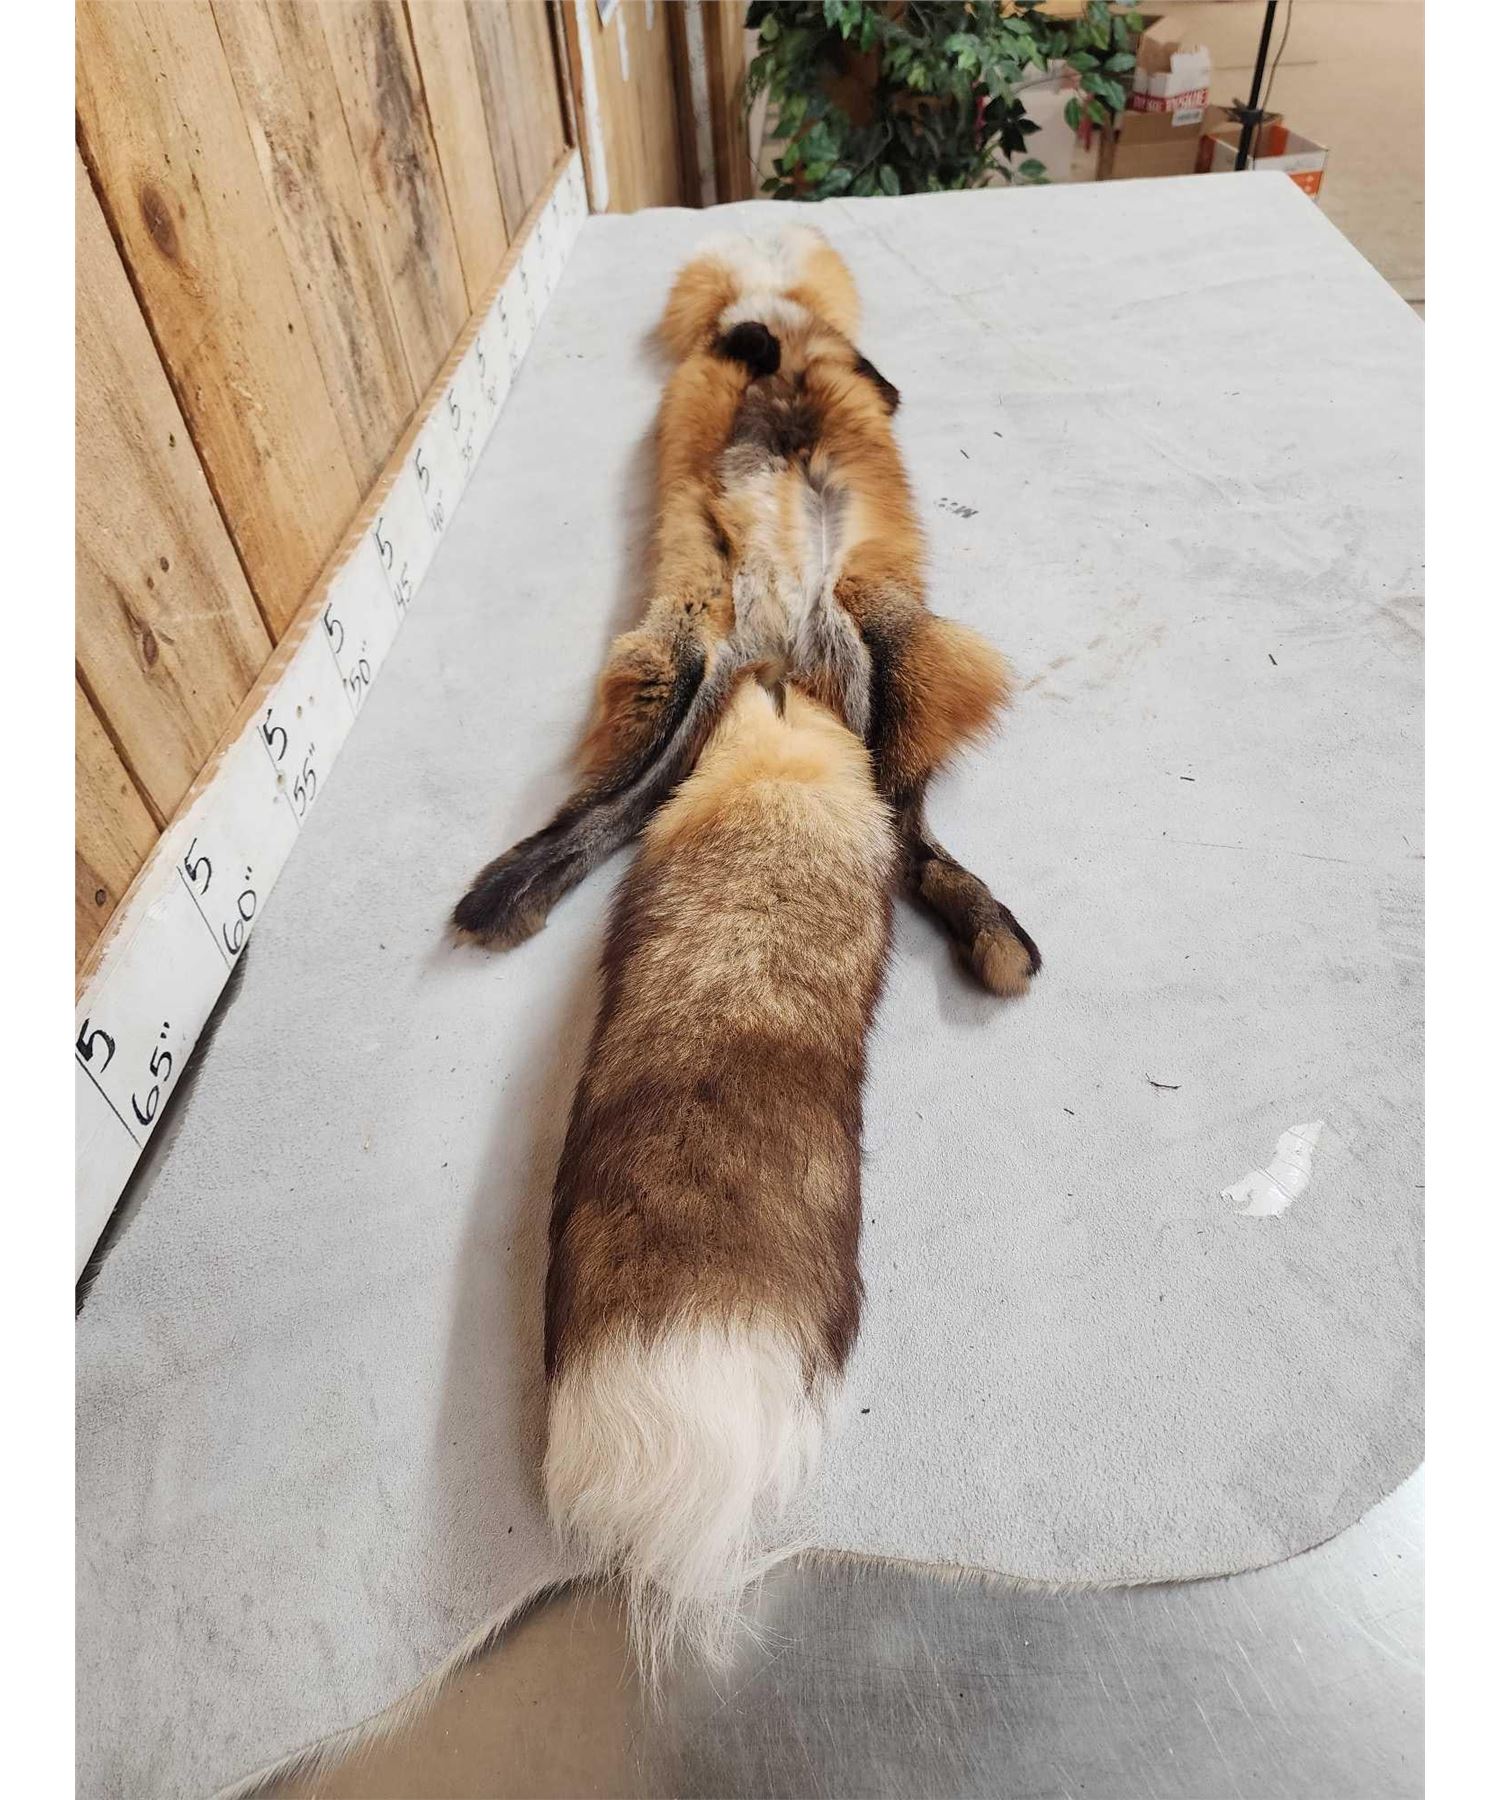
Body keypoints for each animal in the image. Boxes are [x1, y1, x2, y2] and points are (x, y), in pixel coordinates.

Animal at [453, 225, 1040, 997]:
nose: (762, 230)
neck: (784, 321)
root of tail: (776, 649)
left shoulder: (863, 375)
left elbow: (800, 358)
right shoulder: (815, 358)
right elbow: (752, 344)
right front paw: (755, 342)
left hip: (874, 665)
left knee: (905, 843)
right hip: (685, 680)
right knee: (610, 814)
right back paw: (505, 893)